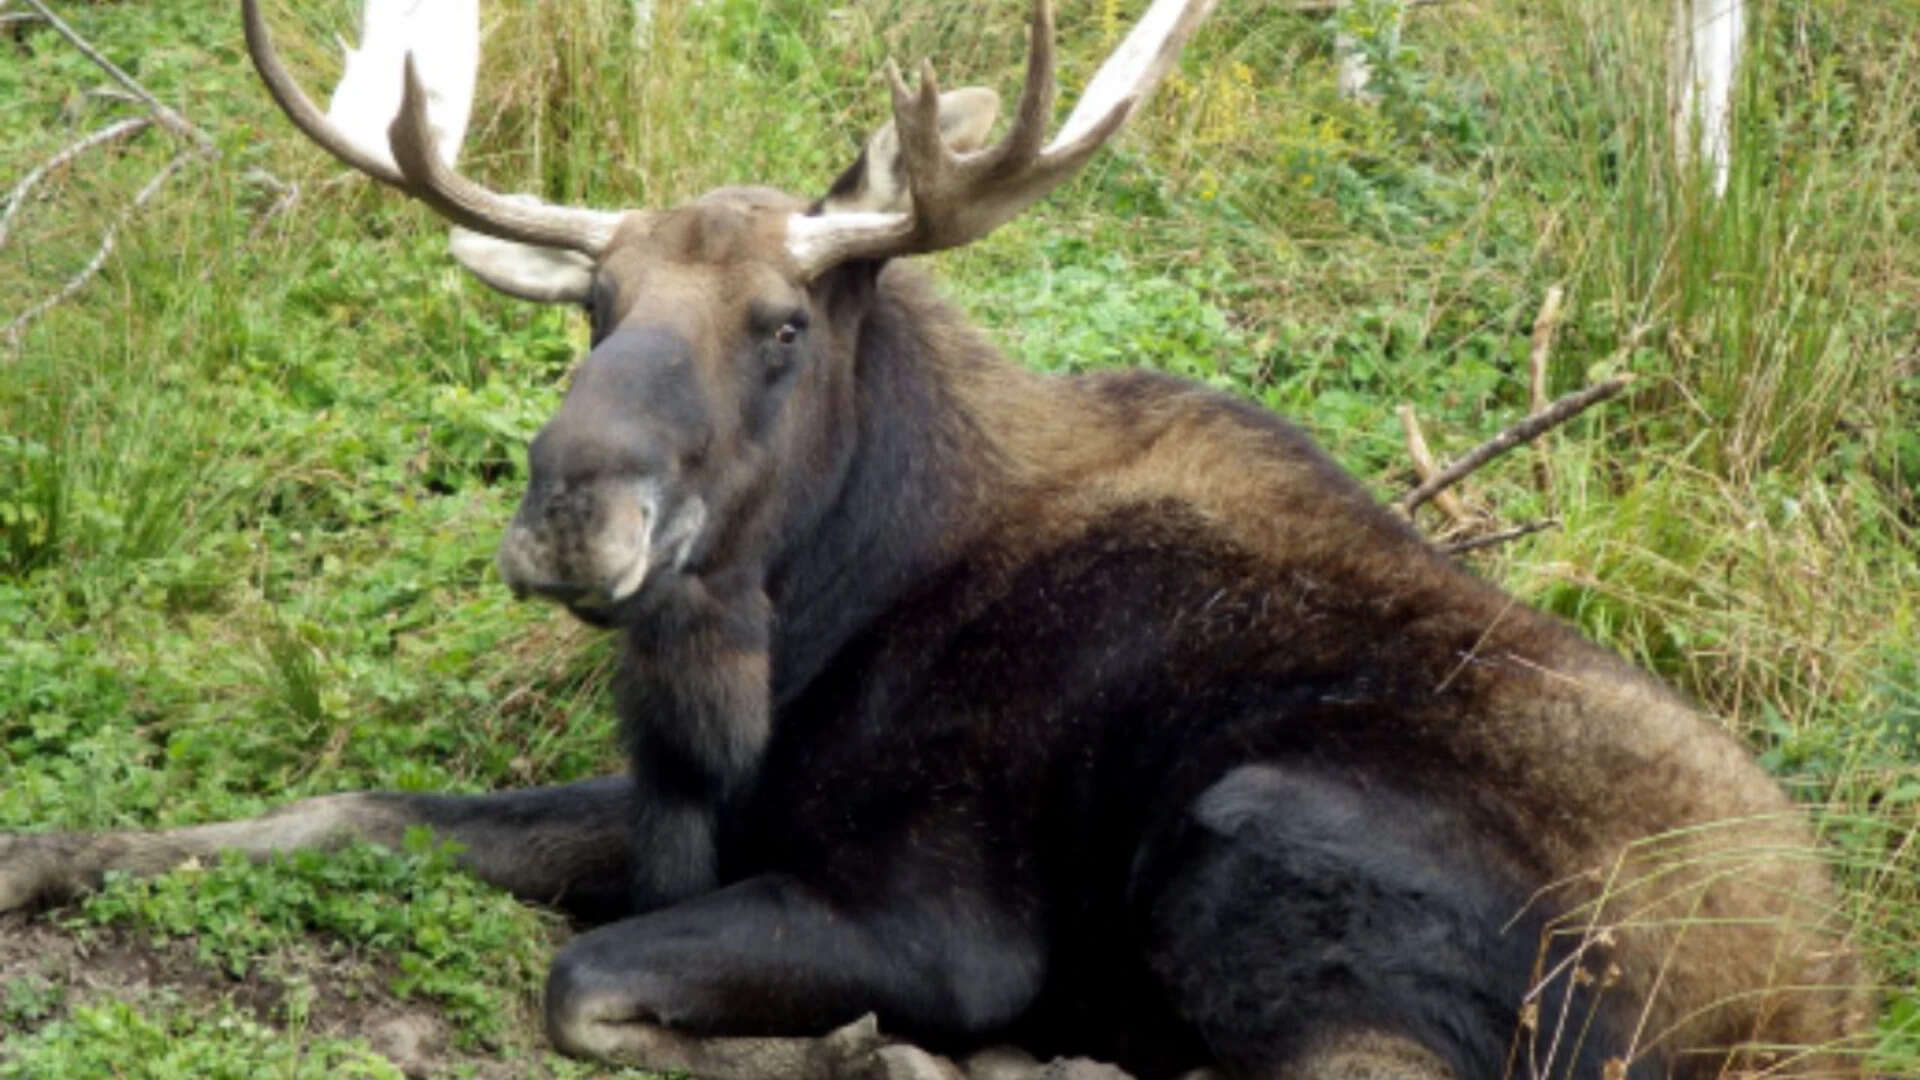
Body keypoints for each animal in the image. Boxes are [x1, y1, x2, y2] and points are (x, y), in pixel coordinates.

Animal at [0, 1, 1869, 1077]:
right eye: (594, 307)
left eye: (780, 326)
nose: (569, 514)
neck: (806, 619)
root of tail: (1819, 1025)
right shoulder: (681, 808)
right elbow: (352, 810)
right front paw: (51, 849)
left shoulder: (942, 927)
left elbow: (579, 983)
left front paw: (846, 1045)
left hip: (1268, 827)